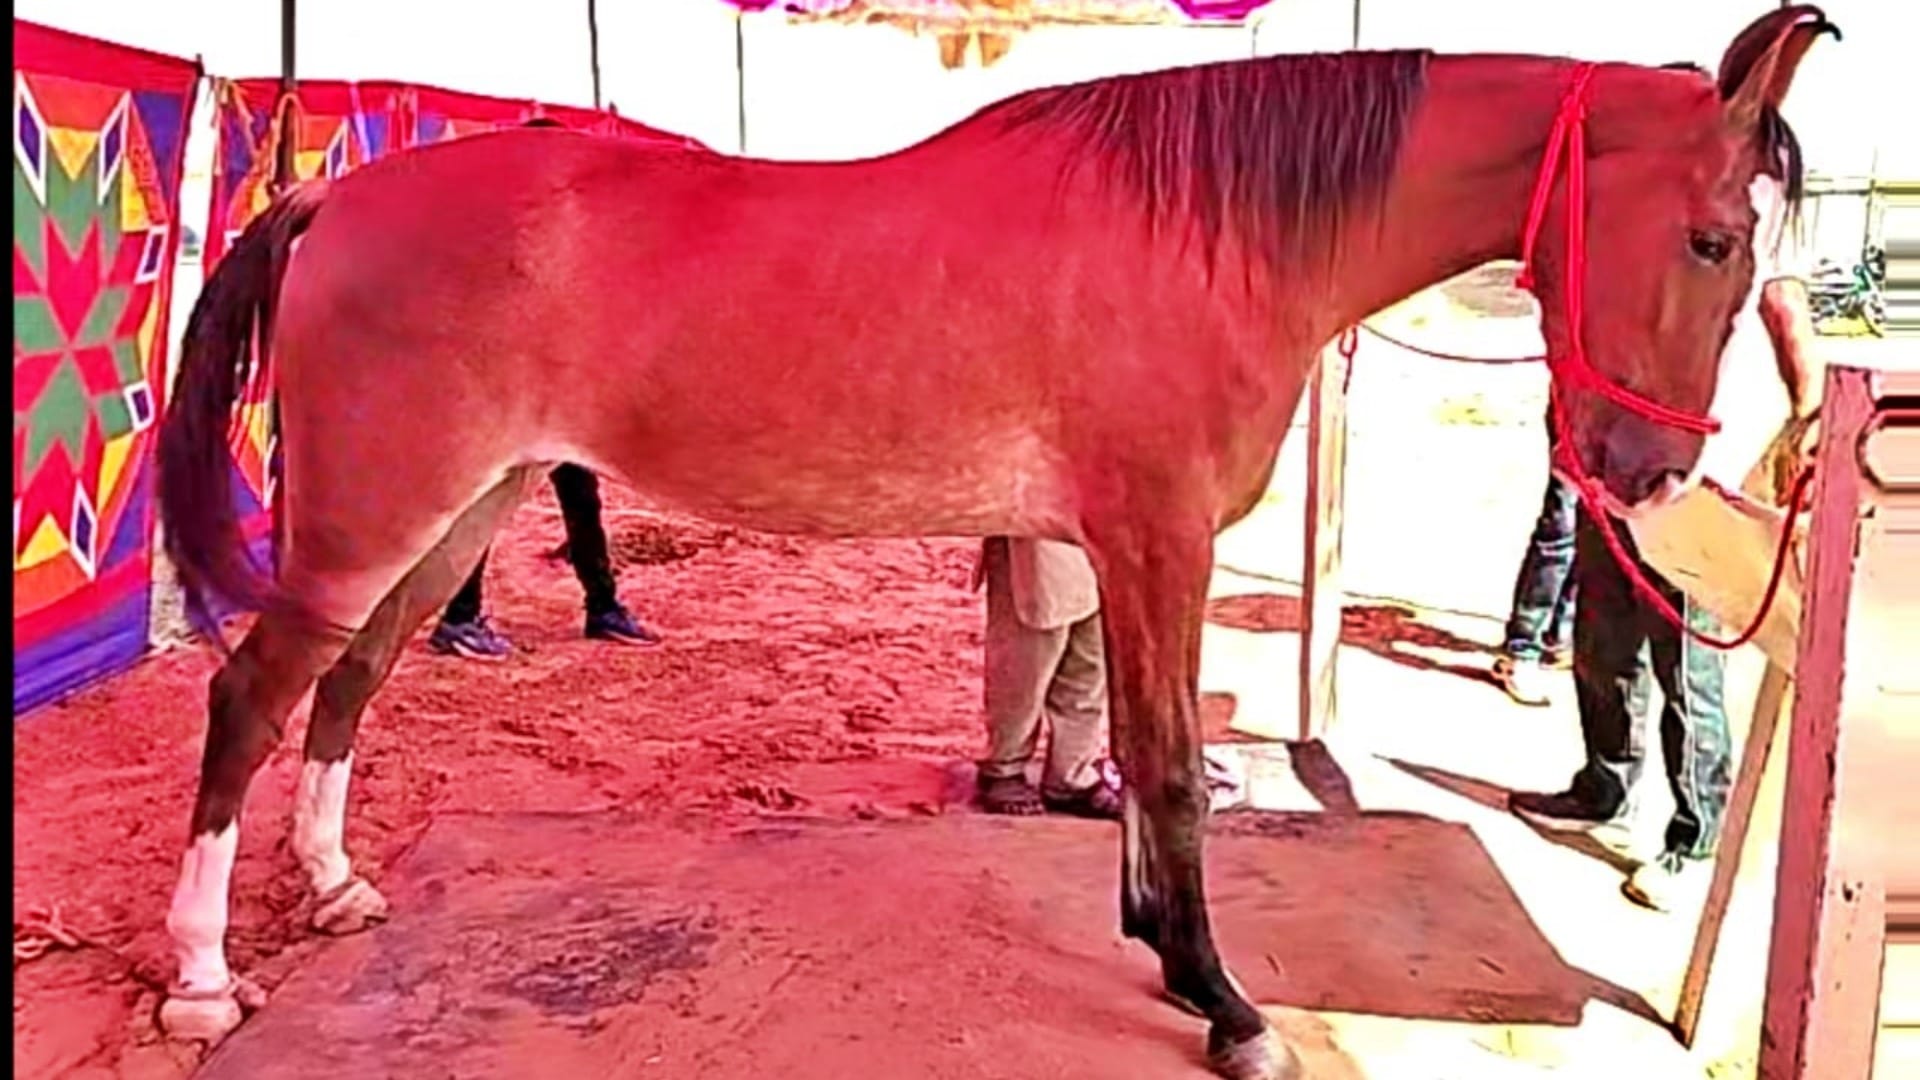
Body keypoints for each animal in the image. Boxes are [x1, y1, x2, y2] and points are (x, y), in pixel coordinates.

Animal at [152, 8, 1836, 1076]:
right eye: (1713, 238)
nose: (1647, 471)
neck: (1210, 232)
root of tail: (327, 194)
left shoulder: (1130, 549)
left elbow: (1143, 760)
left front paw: (1159, 945)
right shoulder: (1154, 538)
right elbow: (1170, 769)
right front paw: (1227, 1006)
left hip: (455, 521)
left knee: (348, 688)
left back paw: (336, 892)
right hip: (375, 523)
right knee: (249, 697)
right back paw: (203, 984)